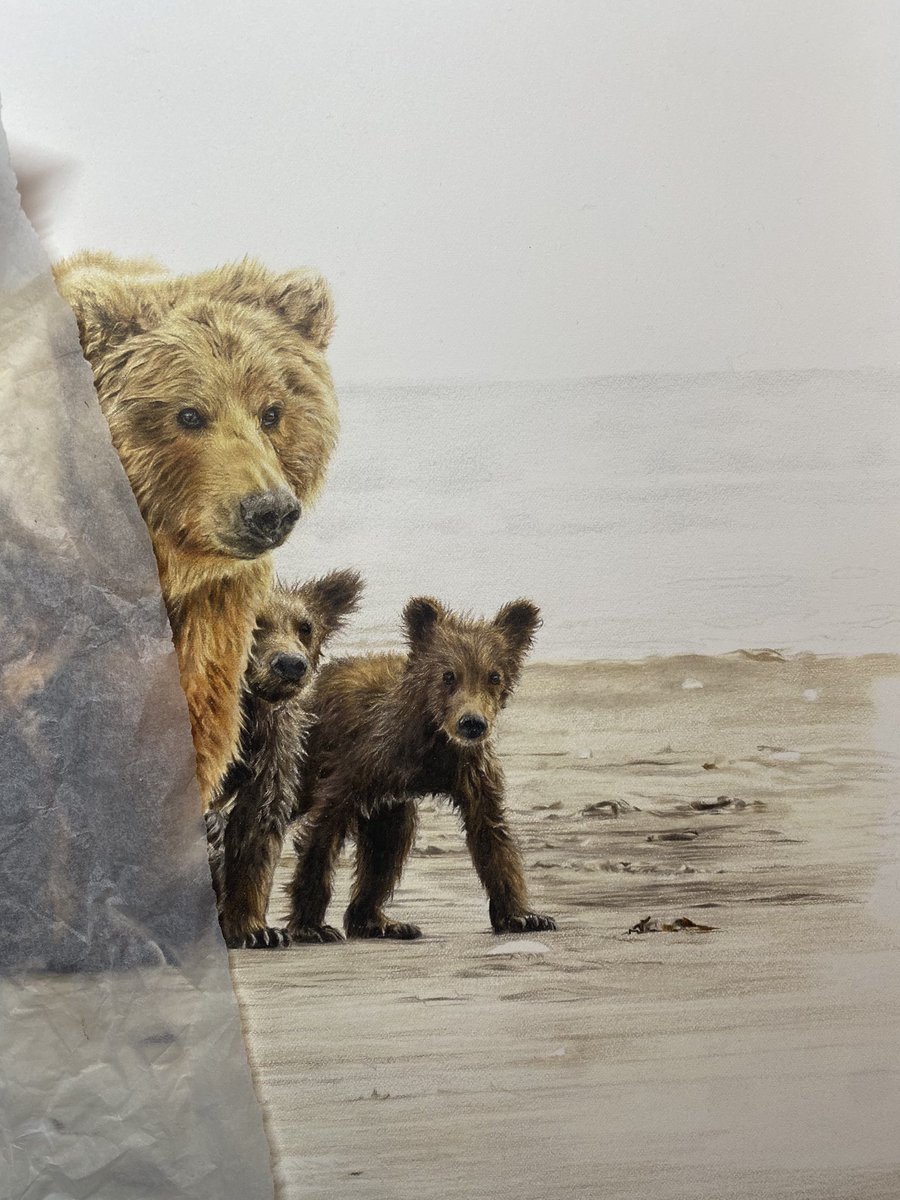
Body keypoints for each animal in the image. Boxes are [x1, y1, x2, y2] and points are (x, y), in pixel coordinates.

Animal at [207, 568, 363, 949]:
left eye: (304, 626)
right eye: (256, 624)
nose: (291, 664)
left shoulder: (271, 754)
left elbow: (257, 829)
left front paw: (256, 930)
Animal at [285, 595, 557, 943]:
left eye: (494, 676)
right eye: (448, 675)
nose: (472, 723)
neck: (432, 744)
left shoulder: (469, 770)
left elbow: (491, 833)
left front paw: (523, 916)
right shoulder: (364, 760)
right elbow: (325, 827)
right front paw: (311, 925)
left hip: (387, 802)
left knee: (388, 846)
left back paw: (380, 922)